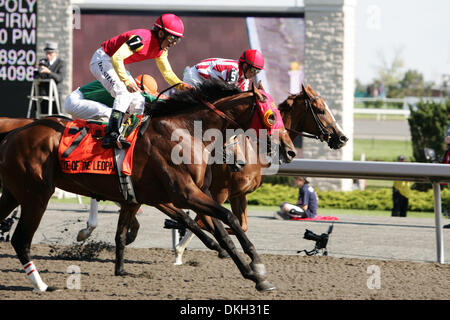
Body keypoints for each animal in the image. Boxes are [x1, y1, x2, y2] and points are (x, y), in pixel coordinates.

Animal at [0, 80, 296, 292]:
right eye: (272, 117)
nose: (290, 150)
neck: (186, 132)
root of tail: (13, 133)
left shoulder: (189, 194)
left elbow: (221, 230)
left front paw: (253, 275)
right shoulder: (185, 194)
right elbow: (228, 218)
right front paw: (257, 266)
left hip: (14, 194)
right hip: (36, 195)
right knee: (20, 239)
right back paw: (41, 285)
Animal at [172, 82, 348, 264]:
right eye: (321, 110)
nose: (342, 138)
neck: (254, 149)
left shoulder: (238, 194)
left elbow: (240, 226)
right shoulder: (219, 191)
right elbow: (203, 221)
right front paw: (180, 250)